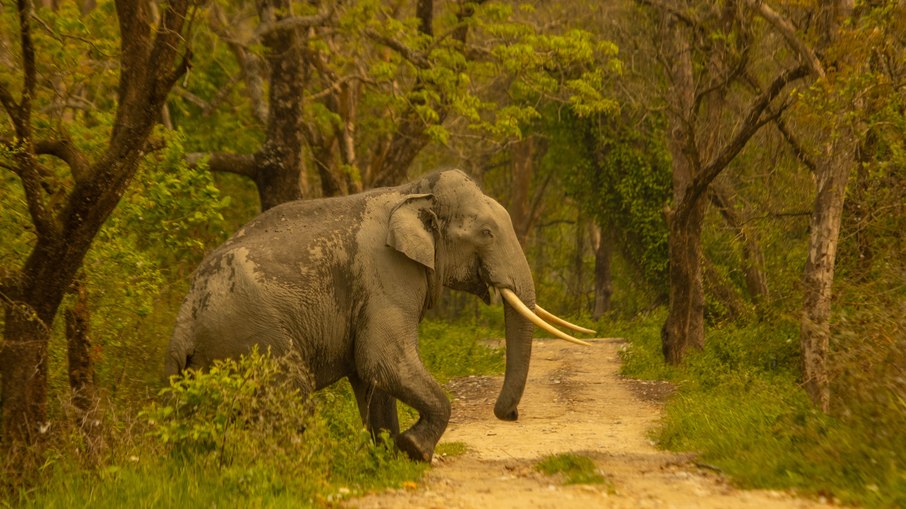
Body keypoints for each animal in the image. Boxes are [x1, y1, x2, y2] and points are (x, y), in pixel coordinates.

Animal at [165, 169, 594, 462]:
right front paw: (415, 450)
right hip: (256, 339)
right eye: (487, 233)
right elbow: (382, 359)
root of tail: (183, 321)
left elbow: (372, 374)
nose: (511, 414)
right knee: (292, 397)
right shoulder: (386, 274)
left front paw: (389, 455)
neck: (411, 191)